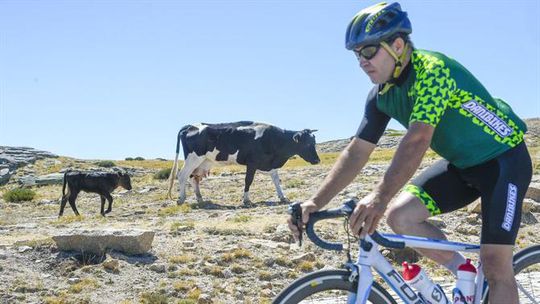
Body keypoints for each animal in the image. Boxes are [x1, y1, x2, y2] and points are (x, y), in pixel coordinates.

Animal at [168, 120, 320, 204]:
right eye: (307, 144)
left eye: (314, 142)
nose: (317, 160)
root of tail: (191, 126)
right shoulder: (252, 163)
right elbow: (248, 180)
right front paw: (246, 200)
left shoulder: (270, 165)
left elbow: (277, 181)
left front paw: (283, 197)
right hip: (193, 158)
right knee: (182, 175)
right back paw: (181, 199)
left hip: (203, 162)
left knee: (194, 178)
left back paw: (200, 199)